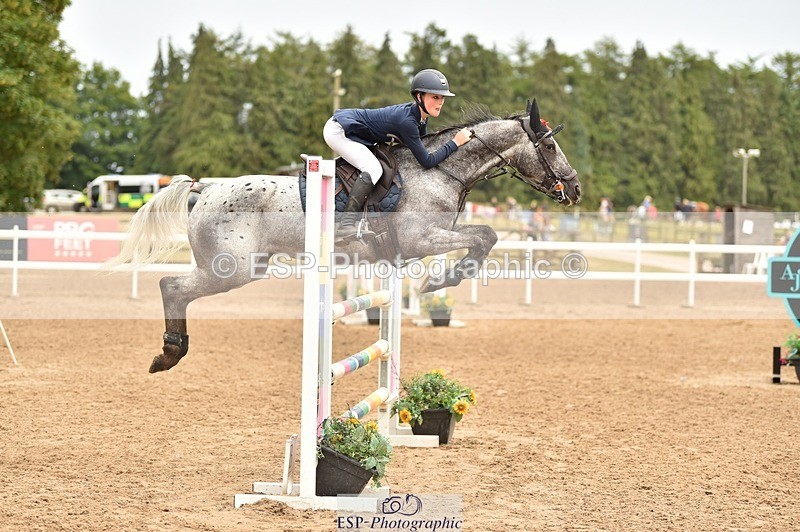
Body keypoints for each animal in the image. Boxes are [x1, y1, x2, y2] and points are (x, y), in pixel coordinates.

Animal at [107, 98, 581, 373]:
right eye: (550, 146)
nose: (574, 190)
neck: (439, 171)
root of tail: (204, 188)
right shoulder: (420, 240)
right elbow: (484, 235)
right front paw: (440, 281)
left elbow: (484, 236)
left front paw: (444, 279)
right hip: (230, 270)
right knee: (171, 286)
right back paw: (168, 353)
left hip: (249, 268)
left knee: (177, 287)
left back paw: (172, 352)